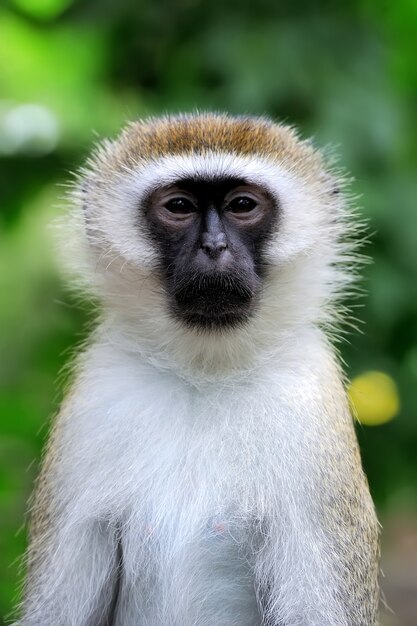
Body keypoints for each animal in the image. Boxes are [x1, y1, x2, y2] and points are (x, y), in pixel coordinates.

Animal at [14, 113, 378, 624]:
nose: (214, 246)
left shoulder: (309, 401)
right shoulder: (96, 396)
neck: (203, 371)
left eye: (242, 205)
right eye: (180, 207)